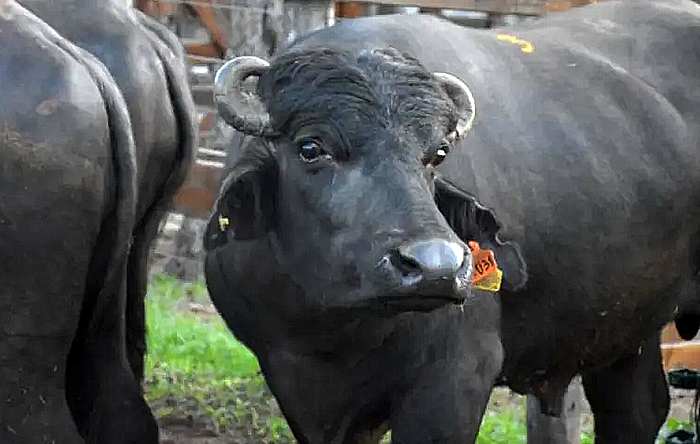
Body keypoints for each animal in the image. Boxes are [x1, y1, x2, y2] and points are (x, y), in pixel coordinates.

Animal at [205, 0, 700, 442]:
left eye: (438, 153)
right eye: (311, 147)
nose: (436, 267)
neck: (336, 332)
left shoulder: (458, 377)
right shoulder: (295, 386)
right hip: (627, 328)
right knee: (638, 409)